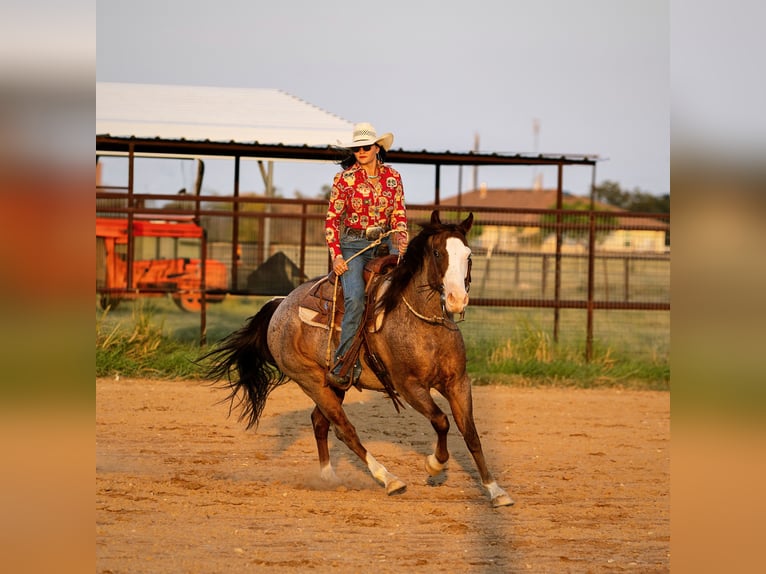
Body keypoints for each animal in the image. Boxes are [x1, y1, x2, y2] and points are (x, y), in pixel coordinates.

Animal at [202, 210, 516, 508]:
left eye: (468, 255)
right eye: (438, 253)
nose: (456, 300)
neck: (424, 324)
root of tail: (280, 304)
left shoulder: (458, 383)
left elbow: (471, 434)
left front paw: (495, 491)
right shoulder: (409, 386)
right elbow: (441, 421)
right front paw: (434, 465)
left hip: (335, 382)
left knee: (320, 422)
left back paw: (329, 476)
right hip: (311, 381)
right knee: (345, 430)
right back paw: (389, 479)